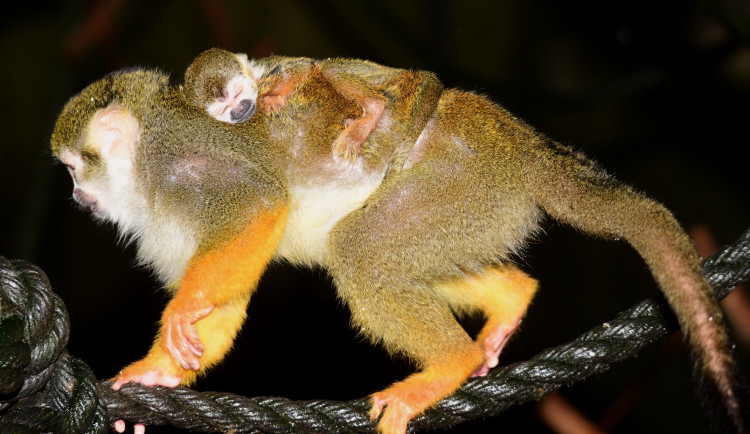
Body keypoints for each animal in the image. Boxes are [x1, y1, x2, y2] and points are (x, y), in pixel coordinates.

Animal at [184, 46, 444, 164]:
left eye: (237, 94)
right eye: (224, 109)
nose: (238, 110)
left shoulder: (270, 68)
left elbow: (304, 68)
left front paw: (270, 97)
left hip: (370, 73)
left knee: (327, 68)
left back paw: (373, 109)